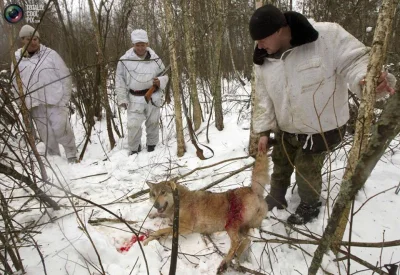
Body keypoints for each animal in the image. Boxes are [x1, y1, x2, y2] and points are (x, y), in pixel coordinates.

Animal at [142, 153, 270, 274]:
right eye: (153, 194)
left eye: (163, 192)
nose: (155, 205)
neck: (179, 200)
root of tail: (253, 190)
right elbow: (162, 223)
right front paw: (152, 217)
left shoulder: (186, 227)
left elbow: (160, 230)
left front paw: (147, 240)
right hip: (240, 228)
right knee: (246, 240)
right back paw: (235, 258)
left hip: (230, 225)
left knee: (237, 242)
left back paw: (224, 263)